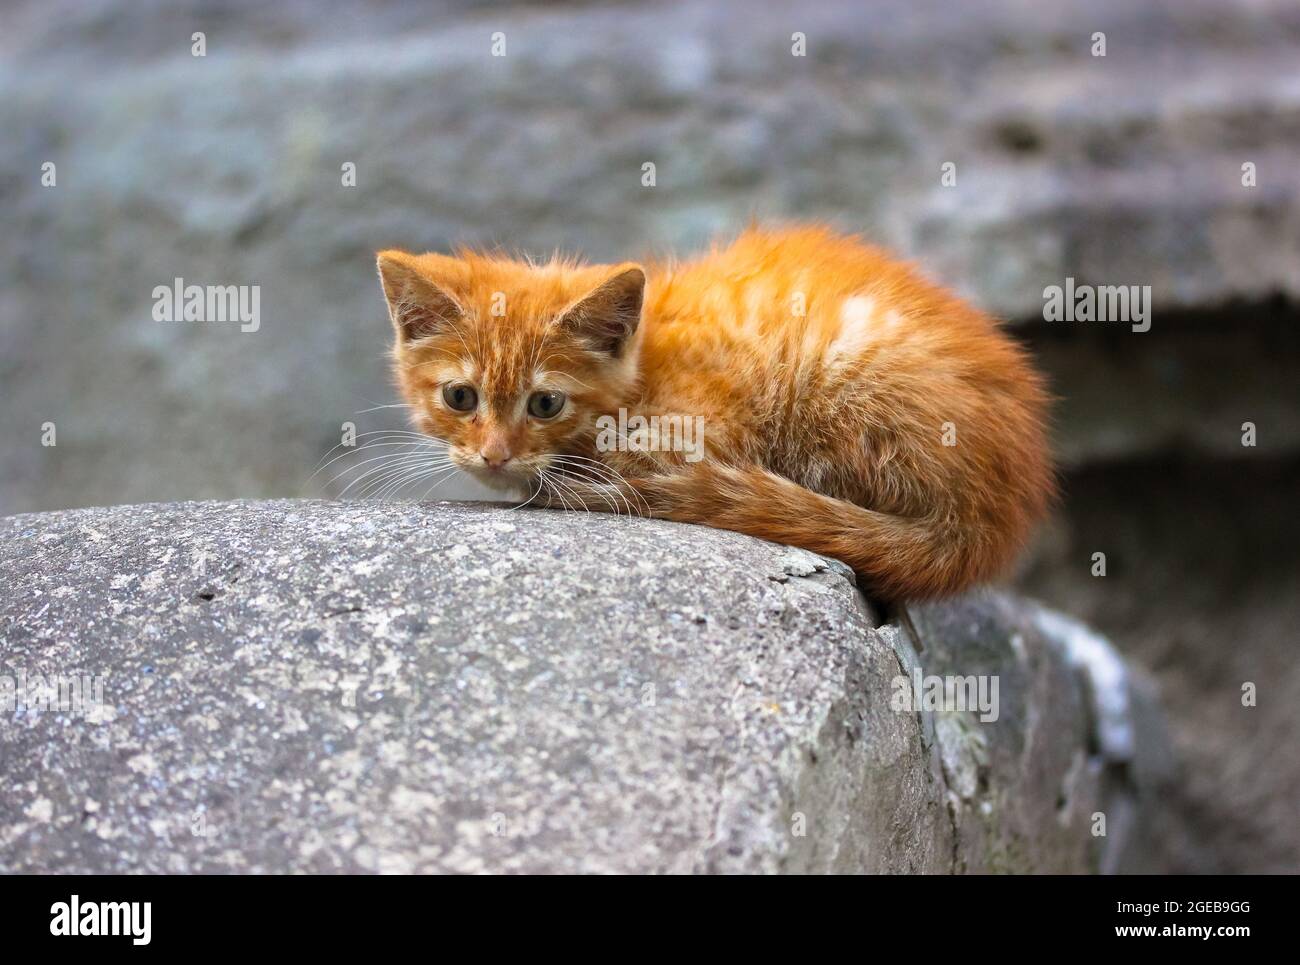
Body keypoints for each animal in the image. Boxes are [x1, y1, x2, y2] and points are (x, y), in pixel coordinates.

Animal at [377, 228, 1055, 603]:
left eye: (546, 403)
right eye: (460, 398)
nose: (494, 455)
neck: (650, 357)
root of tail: (992, 518)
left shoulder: (695, 435)